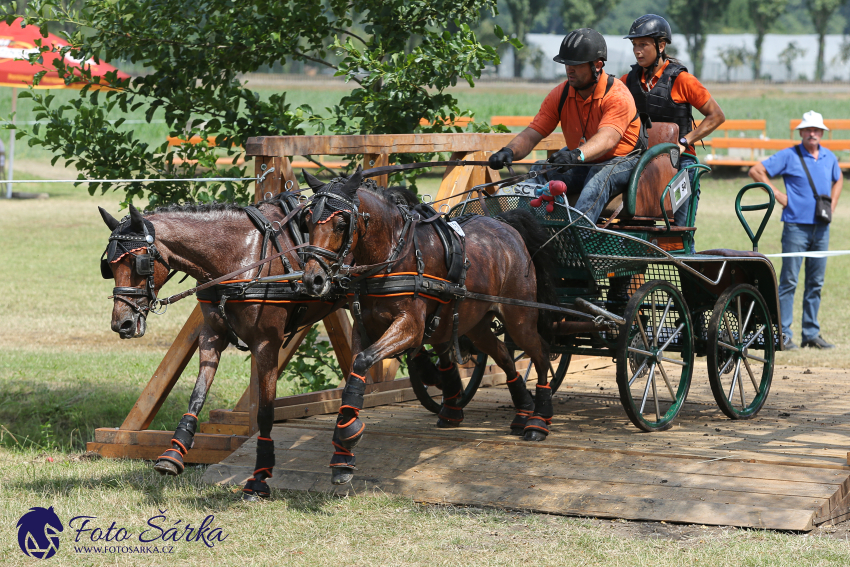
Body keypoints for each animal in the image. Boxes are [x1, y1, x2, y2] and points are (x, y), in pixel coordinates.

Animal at [302, 166, 560, 486]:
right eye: (307, 221)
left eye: (340, 223)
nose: (313, 280)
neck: (392, 255)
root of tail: (505, 225)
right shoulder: (363, 328)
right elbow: (356, 369)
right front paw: (342, 455)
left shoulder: (410, 326)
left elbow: (363, 362)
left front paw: (348, 436)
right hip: (476, 323)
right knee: (502, 353)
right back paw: (522, 409)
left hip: (519, 316)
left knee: (539, 353)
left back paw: (538, 419)